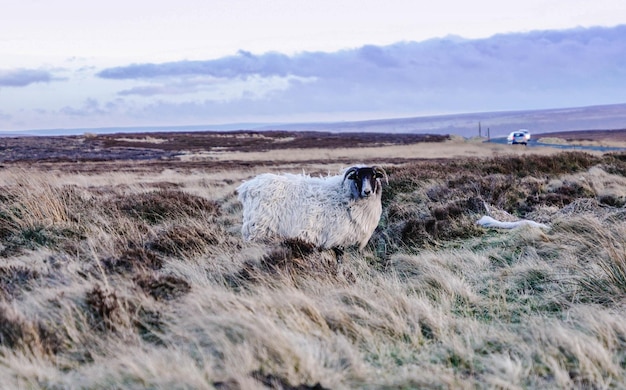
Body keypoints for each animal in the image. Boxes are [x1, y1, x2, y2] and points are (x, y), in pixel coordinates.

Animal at [236, 164, 388, 250]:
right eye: (357, 176)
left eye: (374, 176)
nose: (367, 191)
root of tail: (247, 187)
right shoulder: (337, 241)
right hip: (257, 231)